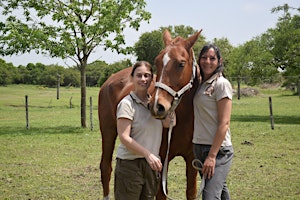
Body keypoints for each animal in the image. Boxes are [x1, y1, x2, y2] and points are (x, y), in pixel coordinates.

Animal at [98, 28, 202, 199]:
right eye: (157, 61)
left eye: (181, 63)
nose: (157, 106)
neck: (186, 117)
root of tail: (109, 80)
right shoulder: (161, 161)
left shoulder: (191, 160)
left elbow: (191, 192)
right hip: (108, 131)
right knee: (105, 168)